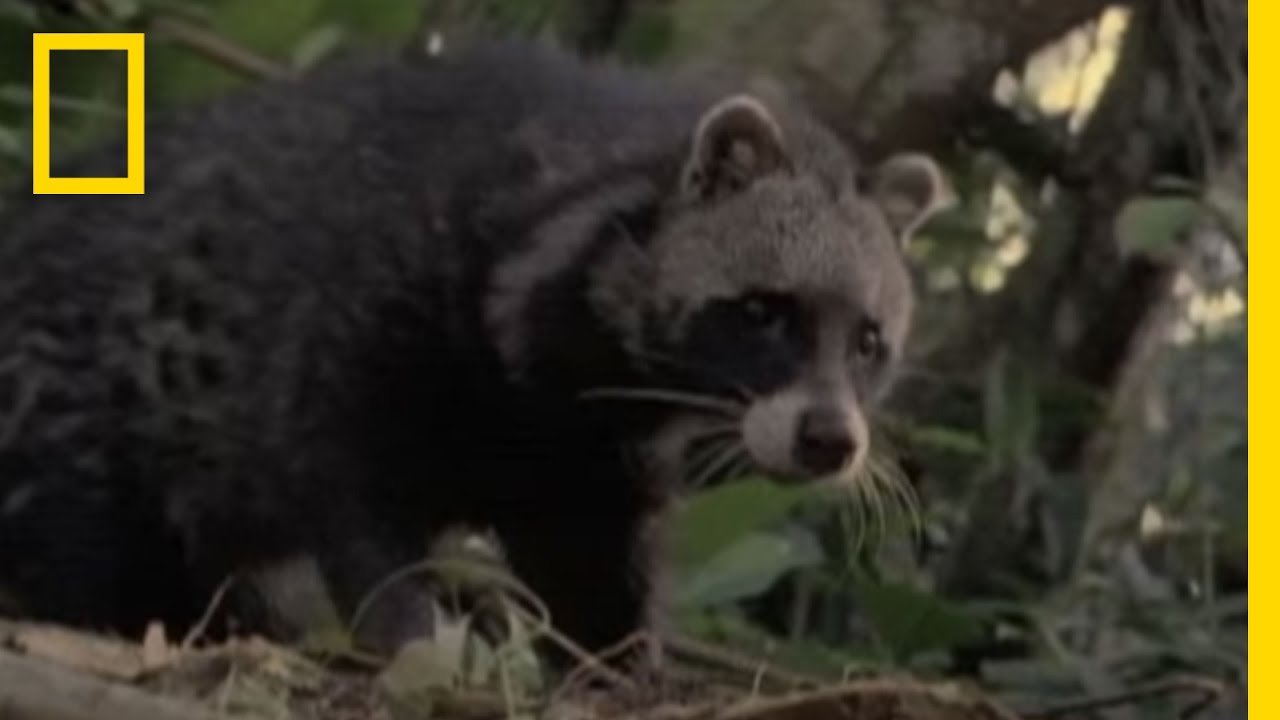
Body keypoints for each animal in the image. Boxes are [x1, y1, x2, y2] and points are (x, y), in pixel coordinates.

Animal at [0, 38, 949, 664]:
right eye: (763, 312)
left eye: (869, 342)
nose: (831, 440)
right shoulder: (362, 318)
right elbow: (353, 495)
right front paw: (410, 638)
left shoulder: (586, 459)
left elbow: (595, 570)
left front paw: (620, 669)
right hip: (71, 410)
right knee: (79, 548)